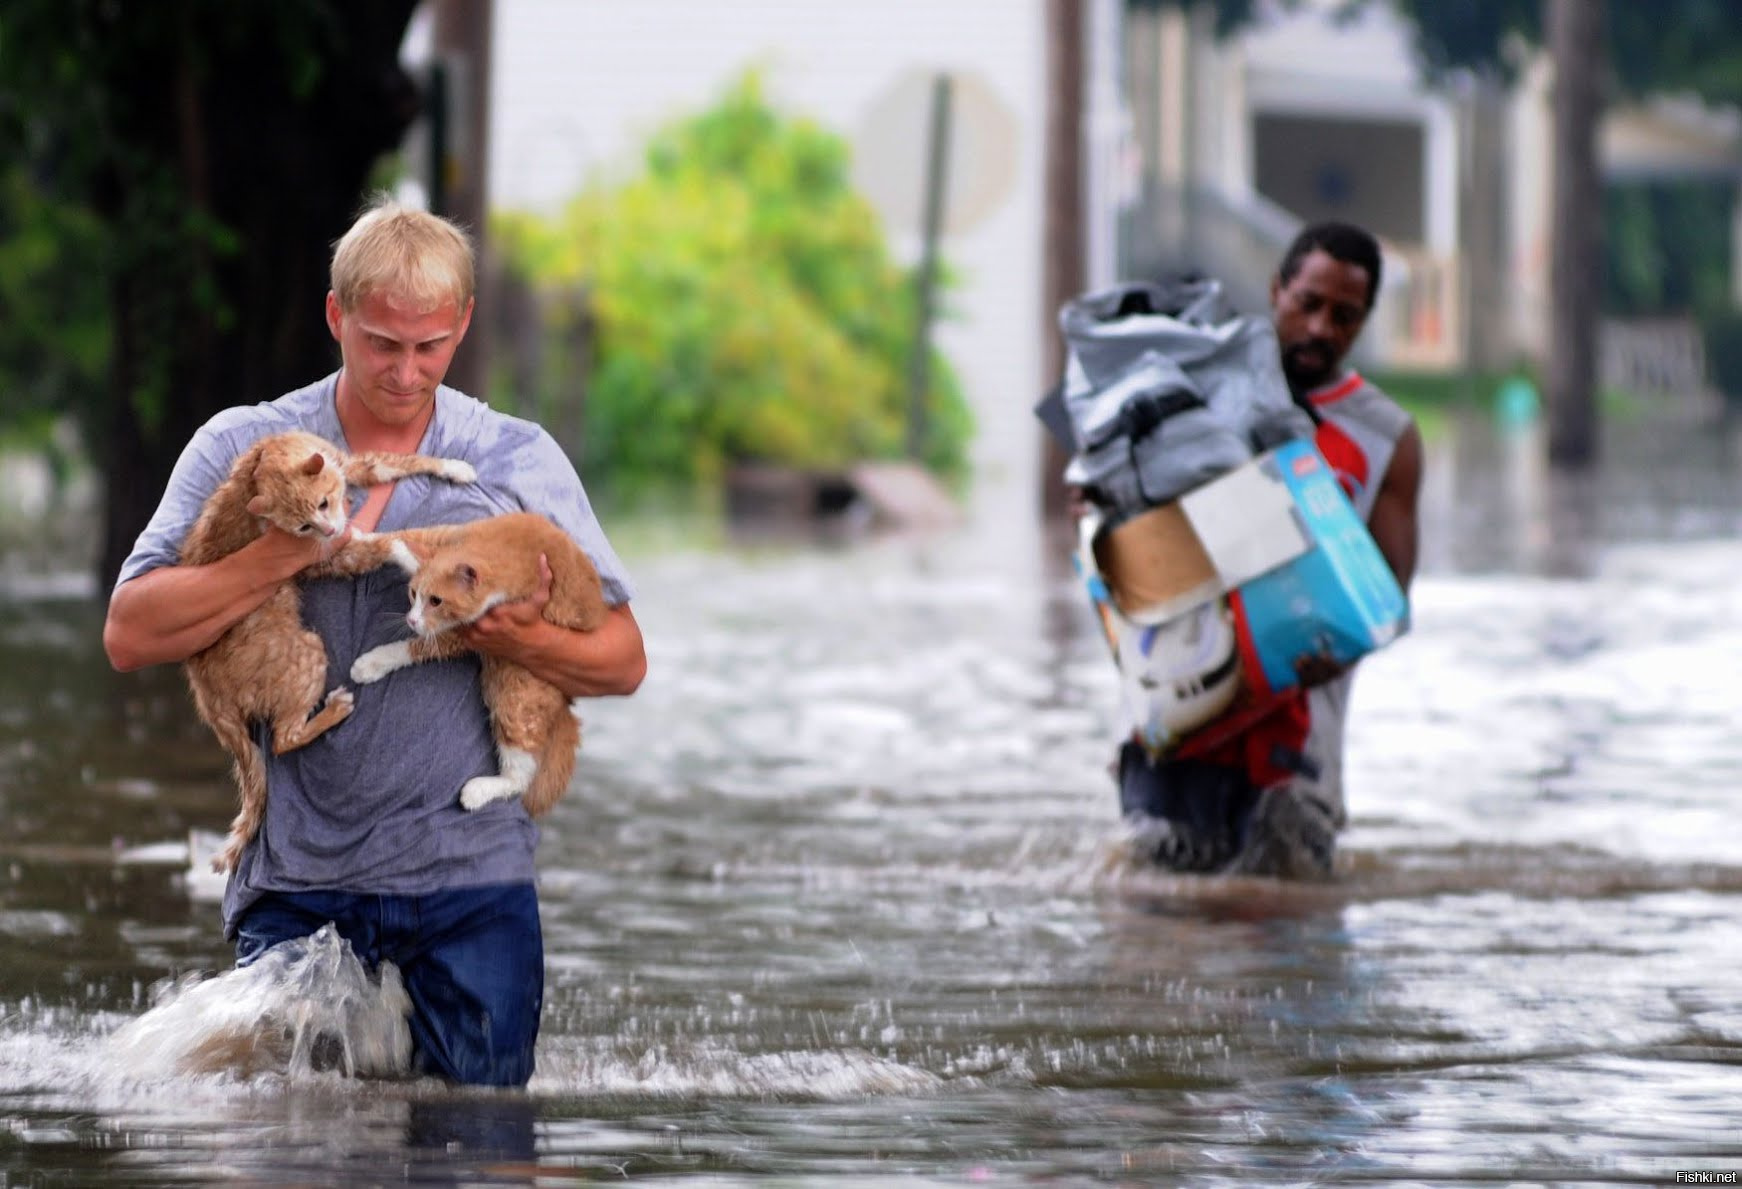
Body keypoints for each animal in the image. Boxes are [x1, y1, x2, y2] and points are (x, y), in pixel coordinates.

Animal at [180, 431, 477, 870]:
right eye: (303, 525)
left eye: (322, 504)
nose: (330, 527)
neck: (263, 460)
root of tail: (207, 696)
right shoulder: (316, 556)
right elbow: (383, 542)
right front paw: (409, 555)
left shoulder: (348, 464)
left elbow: (397, 461)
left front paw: (454, 467)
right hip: (307, 651)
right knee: (283, 739)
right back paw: (334, 710)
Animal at [339, 511, 613, 818]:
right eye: (413, 594)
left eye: (436, 601)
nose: (411, 620)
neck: (509, 546)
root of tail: (566, 702)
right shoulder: (448, 534)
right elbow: (403, 539)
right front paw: (360, 537)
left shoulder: (470, 631)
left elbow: (415, 646)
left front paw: (370, 664)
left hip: (515, 700)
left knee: (520, 777)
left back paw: (478, 791)